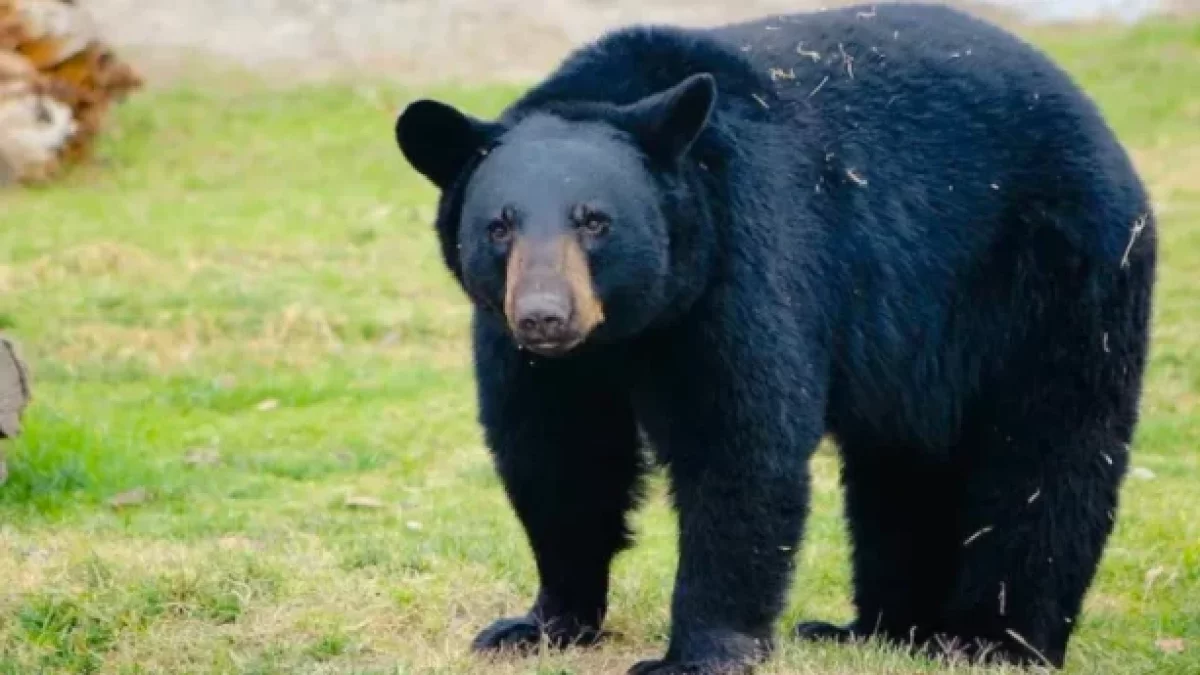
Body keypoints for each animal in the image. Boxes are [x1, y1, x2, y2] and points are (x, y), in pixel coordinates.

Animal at [393, 3, 1156, 673]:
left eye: (595, 220)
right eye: (499, 225)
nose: (545, 316)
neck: (632, 327)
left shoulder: (744, 260)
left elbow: (739, 441)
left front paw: (695, 654)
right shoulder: (532, 357)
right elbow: (558, 455)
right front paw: (541, 621)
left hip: (1055, 277)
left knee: (1047, 455)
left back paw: (992, 640)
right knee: (903, 465)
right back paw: (877, 628)